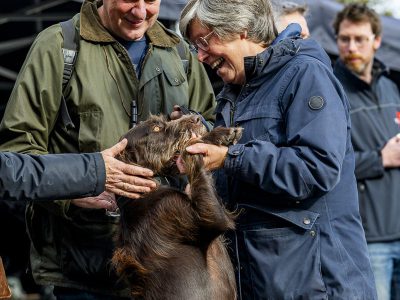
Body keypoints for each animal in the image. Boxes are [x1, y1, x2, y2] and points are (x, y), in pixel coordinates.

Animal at [111, 113, 241, 298]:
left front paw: (220, 134)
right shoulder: (210, 215)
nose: (196, 118)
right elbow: (190, 150)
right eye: (156, 128)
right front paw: (198, 141)